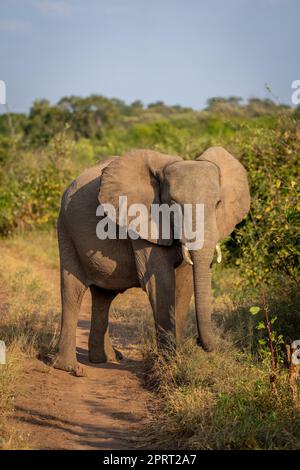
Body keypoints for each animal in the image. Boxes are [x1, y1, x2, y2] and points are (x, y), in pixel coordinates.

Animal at [54, 147, 251, 374]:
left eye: (218, 203)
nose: (199, 342)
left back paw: (106, 359)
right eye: (173, 204)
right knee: (72, 291)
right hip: (66, 230)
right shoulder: (142, 222)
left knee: (104, 296)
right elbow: (161, 282)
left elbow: (184, 283)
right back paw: (71, 368)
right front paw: (169, 363)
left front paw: (176, 359)